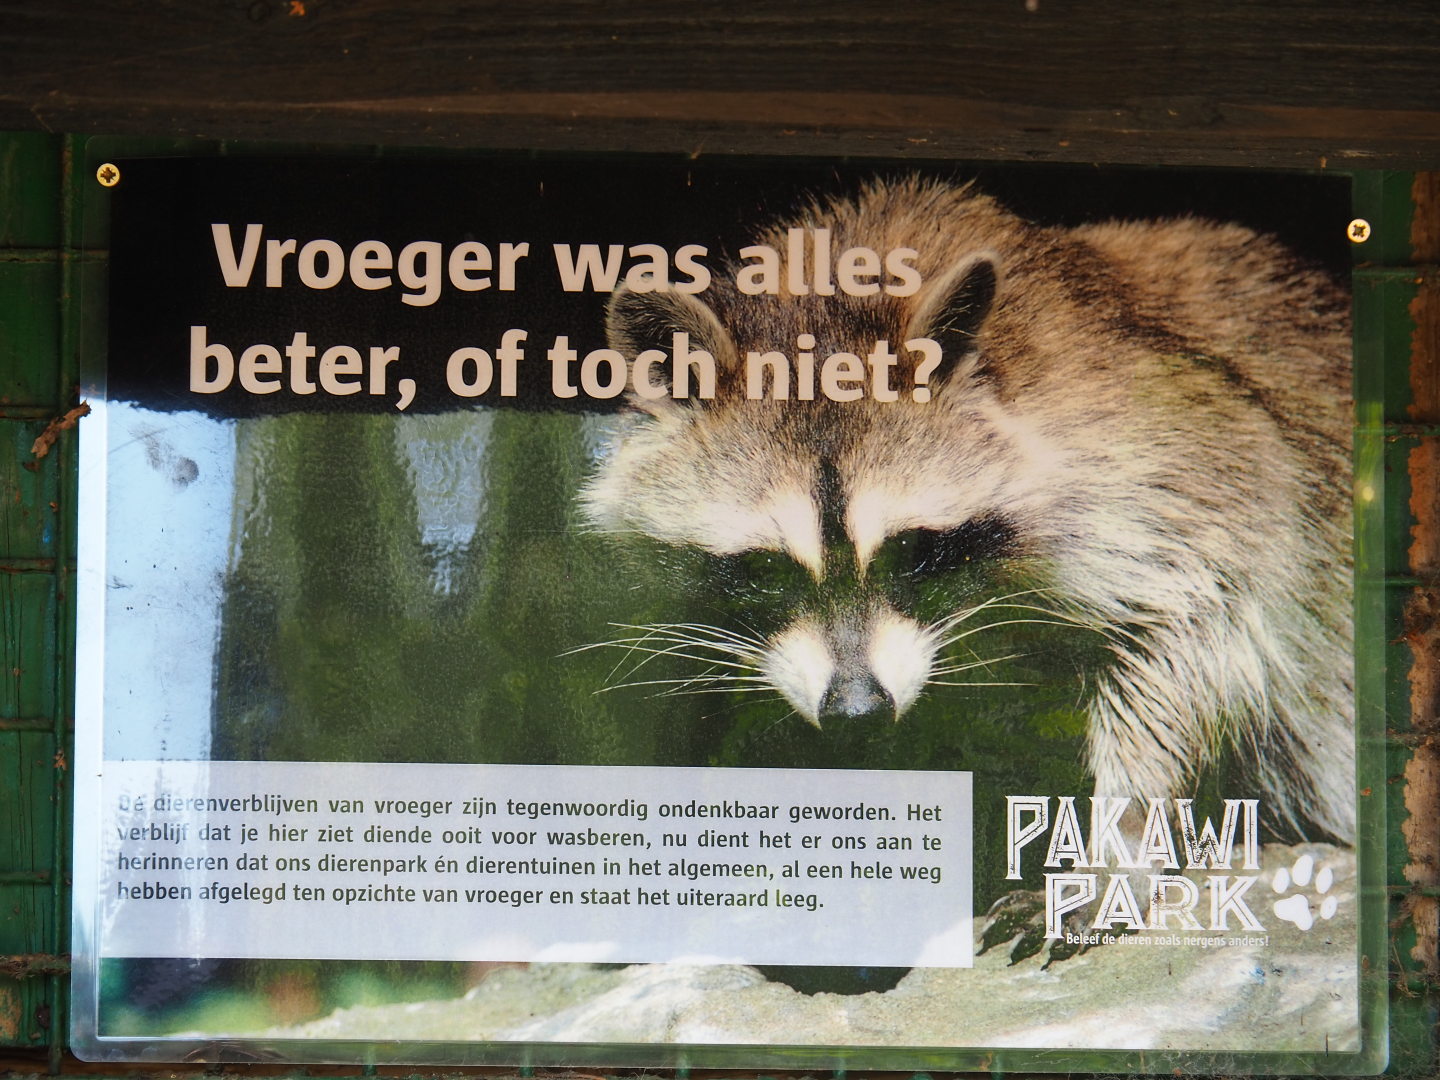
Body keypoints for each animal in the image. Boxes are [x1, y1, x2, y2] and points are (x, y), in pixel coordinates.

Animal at [579, 177, 1354, 844]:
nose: (858, 712)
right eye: (767, 568)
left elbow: (1205, 598)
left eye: (908, 550)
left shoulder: (1147, 445)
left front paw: (1122, 825)